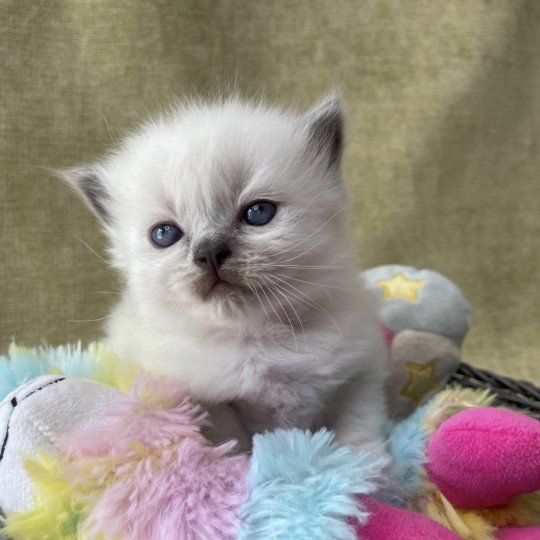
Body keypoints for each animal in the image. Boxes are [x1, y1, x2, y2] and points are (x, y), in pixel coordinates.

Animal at [65, 97, 388, 452]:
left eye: (258, 213)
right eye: (165, 234)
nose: (210, 253)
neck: (256, 342)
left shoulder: (357, 376)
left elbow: (356, 437)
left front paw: (363, 467)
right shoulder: (202, 397)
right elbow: (232, 440)